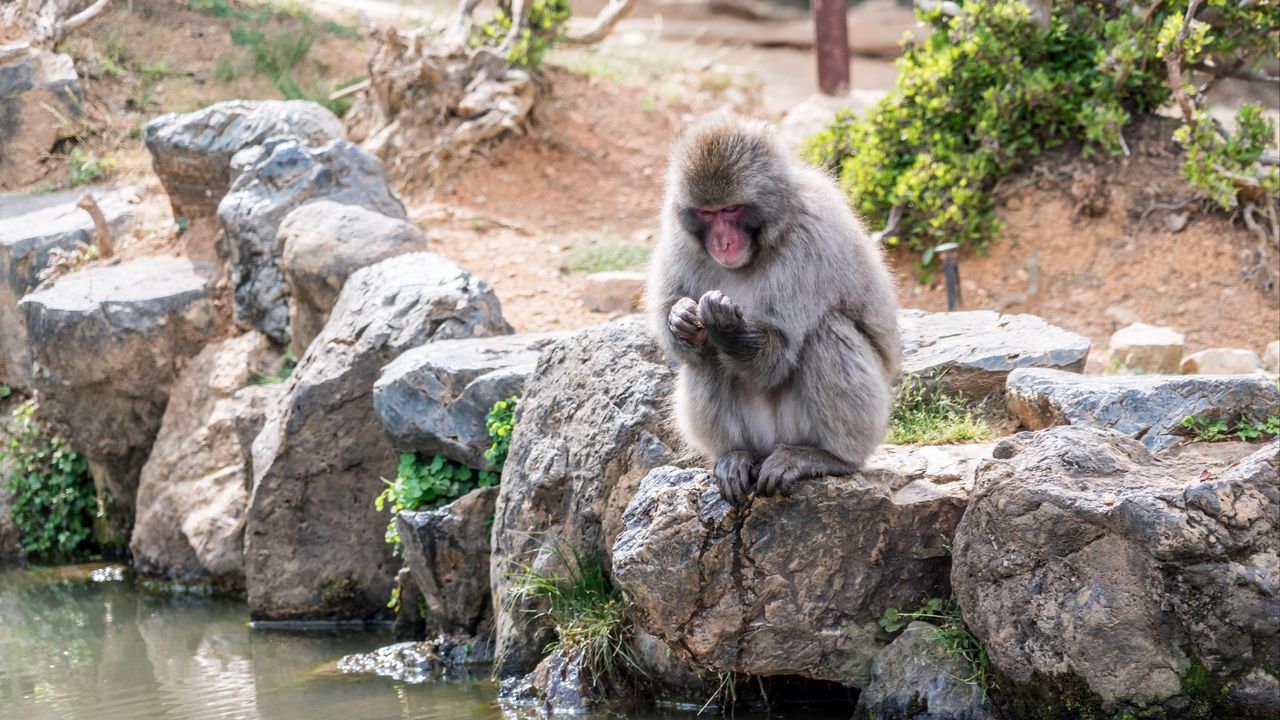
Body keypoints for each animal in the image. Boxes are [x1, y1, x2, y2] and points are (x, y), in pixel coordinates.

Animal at [650, 113, 901, 504]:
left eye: (731, 209)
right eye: (706, 214)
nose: (722, 242)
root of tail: (770, 446)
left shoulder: (811, 240)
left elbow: (777, 356)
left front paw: (726, 326)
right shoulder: (679, 238)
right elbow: (681, 339)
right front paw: (681, 318)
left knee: (827, 331)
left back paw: (829, 457)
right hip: (757, 436)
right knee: (703, 358)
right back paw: (734, 455)